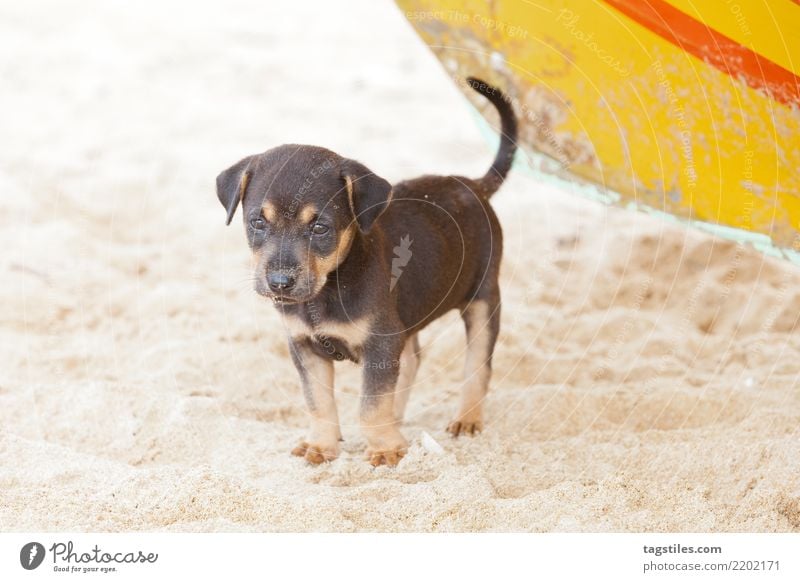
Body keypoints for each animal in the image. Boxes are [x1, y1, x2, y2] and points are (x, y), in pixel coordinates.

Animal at [217, 78, 520, 470]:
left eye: (320, 228)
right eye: (257, 222)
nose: (279, 283)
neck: (327, 289)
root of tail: (474, 186)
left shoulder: (380, 340)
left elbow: (370, 405)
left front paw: (384, 449)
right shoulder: (304, 345)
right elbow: (318, 402)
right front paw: (321, 445)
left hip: (483, 299)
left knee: (478, 365)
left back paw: (466, 418)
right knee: (412, 360)